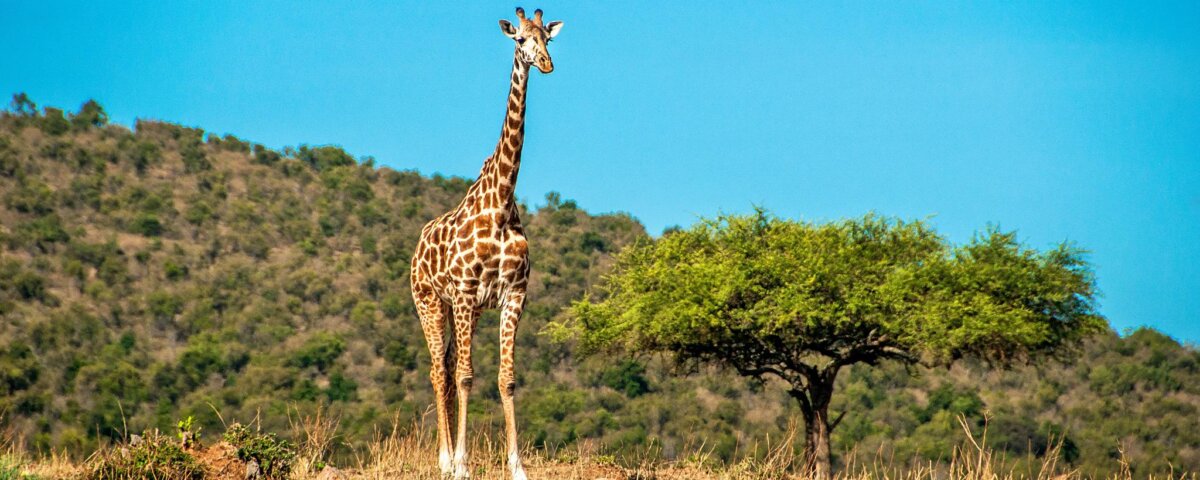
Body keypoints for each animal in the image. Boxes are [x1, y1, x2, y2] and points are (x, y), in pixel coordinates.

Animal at [409, 7, 563, 480]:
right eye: (520, 40)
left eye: (546, 38)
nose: (546, 64)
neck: (500, 204)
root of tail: (417, 247)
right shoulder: (463, 292)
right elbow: (465, 377)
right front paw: (461, 464)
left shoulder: (513, 294)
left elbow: (504, 378)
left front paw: (518, 466)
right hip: (430, 302)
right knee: (440, 371)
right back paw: (444, 460)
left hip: (468, 311)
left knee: (447, 366)